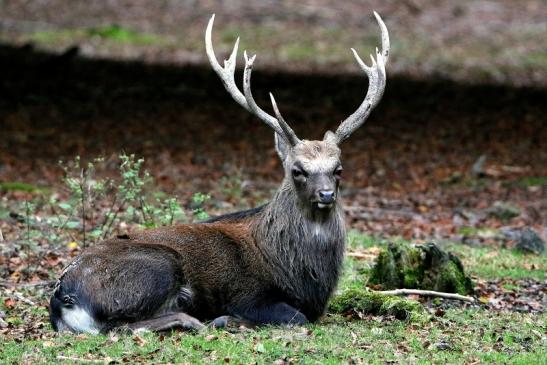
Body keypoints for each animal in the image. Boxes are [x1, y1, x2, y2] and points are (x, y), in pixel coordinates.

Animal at [49, 12, 388, 332]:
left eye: (338, 168)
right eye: (298, 170)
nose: (326, 194)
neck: (299, 276)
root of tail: (63, 296)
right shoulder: (247, 293)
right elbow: (296, 317)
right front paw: (229, 319)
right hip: (158, 266)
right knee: (120, 327)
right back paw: (197, 320)